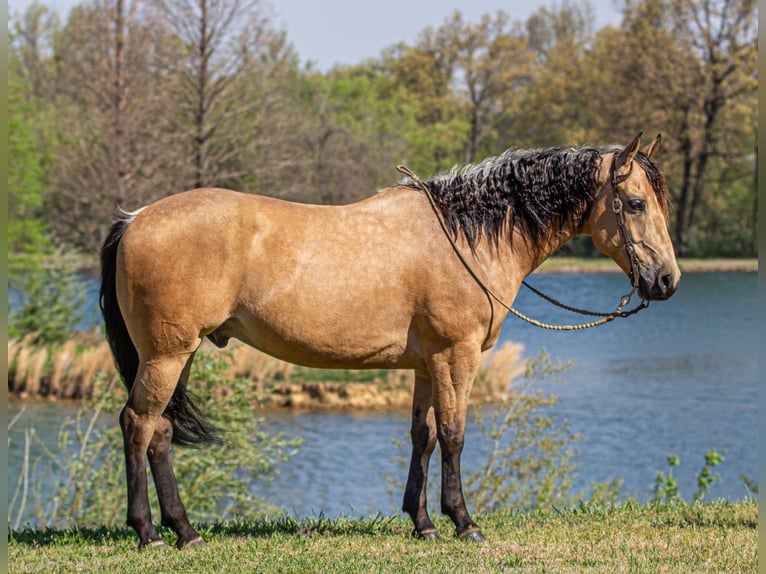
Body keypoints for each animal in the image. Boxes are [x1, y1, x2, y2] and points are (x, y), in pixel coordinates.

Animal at [99, 133, 680, 549]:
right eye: (633, 203)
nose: (667, 280)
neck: (465, 235)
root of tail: (135, 219)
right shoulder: (455, 358)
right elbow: (454, 436)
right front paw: (463, 522)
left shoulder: (426, 365)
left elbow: (422, 438)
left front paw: (422, 523)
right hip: (166, 356)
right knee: (137, 424)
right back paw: (149, 532)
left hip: (180, 355)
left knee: (160, 432)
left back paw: (184, 531)